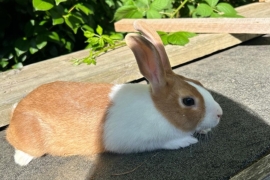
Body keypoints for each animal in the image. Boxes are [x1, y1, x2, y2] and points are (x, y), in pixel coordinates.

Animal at [5, 20, 221, 166]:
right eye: (188, 101)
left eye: (198, 83)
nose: (220, 114)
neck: (159, 109)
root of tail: (16, 113)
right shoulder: (142, 141)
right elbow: (167, 141)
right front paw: (186, 140)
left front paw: (203, 130)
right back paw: (22, 159)